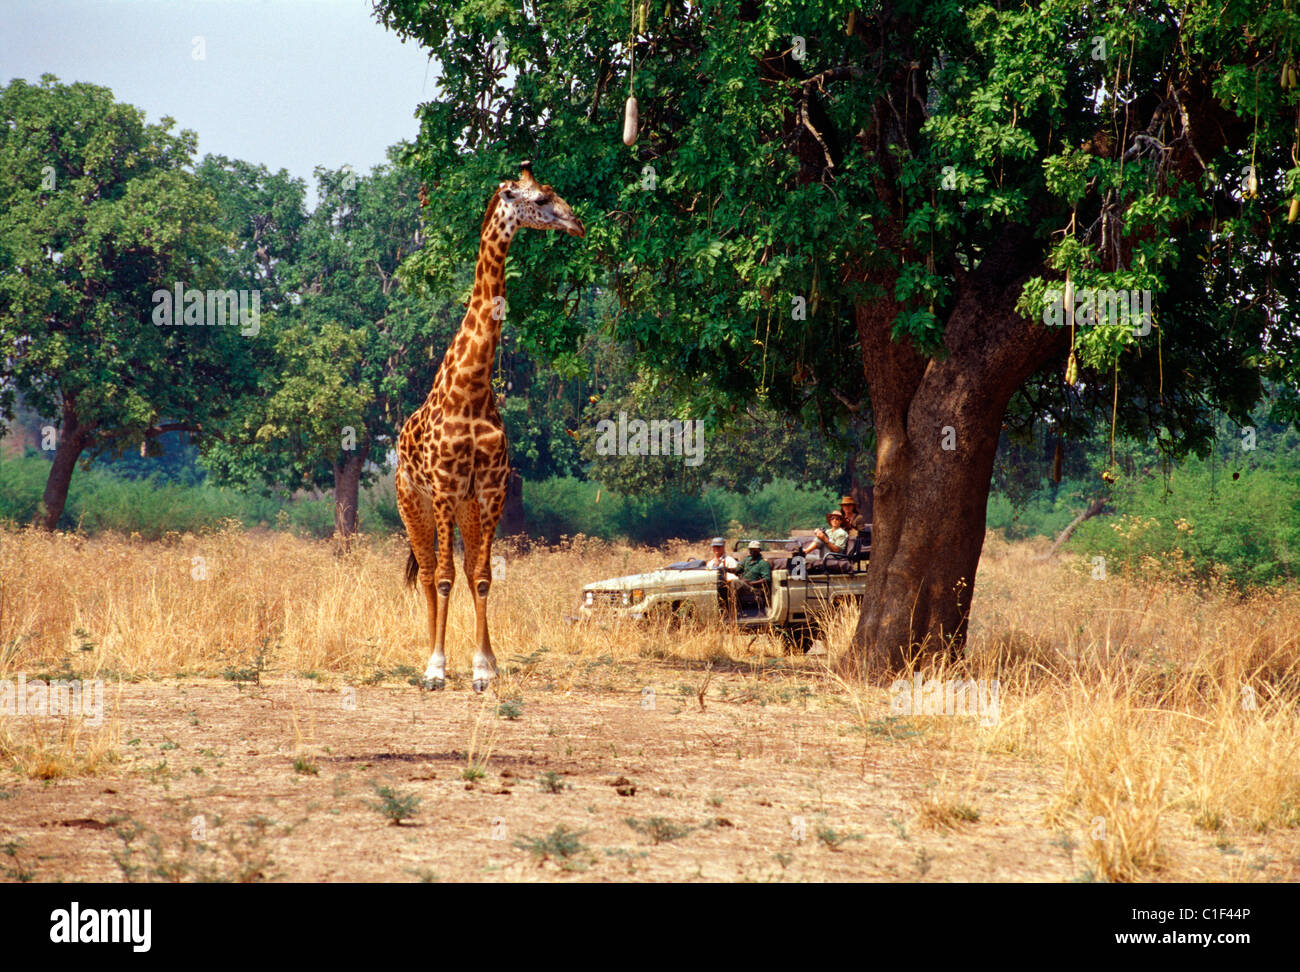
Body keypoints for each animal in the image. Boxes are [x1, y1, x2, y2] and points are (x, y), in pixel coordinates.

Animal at [392, 161, 582, 691]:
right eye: (541, 199)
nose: (576, 224)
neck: (472, 390)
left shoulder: (492, 490)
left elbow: (481, 575)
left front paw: (484, 667)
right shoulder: (442, 488)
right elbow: (443, 576)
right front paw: (437, 668)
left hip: (469, 508)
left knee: (462, 566)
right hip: (411, 502)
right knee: (428, 573)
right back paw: (427, 658)